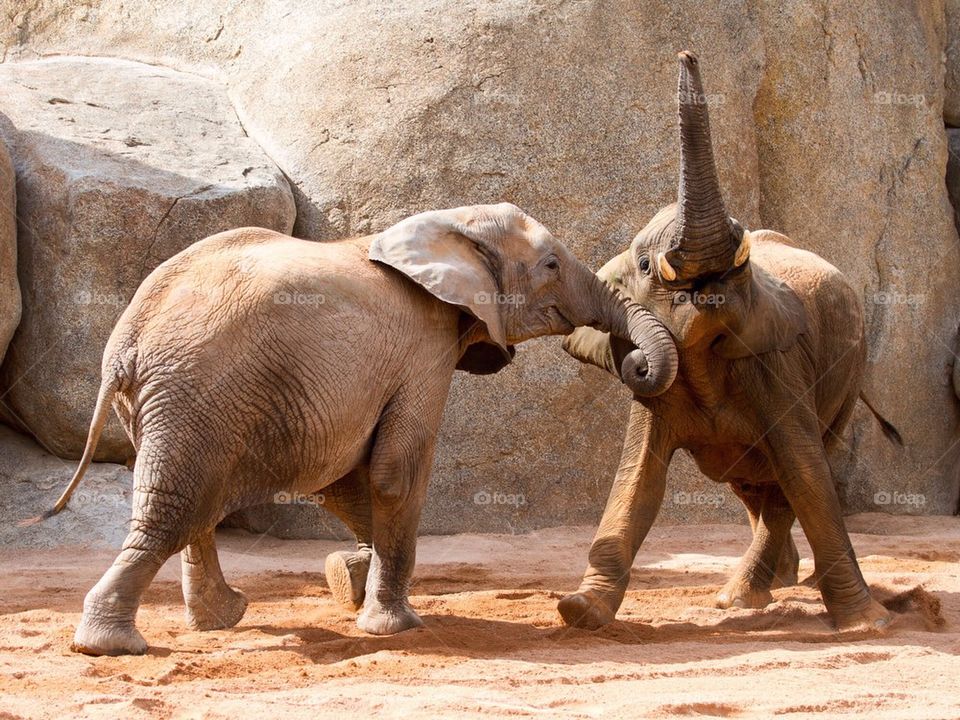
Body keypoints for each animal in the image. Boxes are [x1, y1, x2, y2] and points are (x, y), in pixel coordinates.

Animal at [32, 202, 678, 656]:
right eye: (550, 266)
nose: (636, 365)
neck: (446, 223)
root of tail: (126, 342)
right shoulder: (424, 346)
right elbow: (395, 471)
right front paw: (395, 625)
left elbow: (343, 477)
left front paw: (353, 580)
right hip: (199, 389)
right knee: (177, 507)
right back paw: (111, 645)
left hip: (175, 403)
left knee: (193, 503)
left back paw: (218, 619)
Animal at [557, 52, 901, 633]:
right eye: (644, 265)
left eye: (741, 265)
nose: (687, 54)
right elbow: (638, 481)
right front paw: (580, 612)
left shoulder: (775, 364)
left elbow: (806, 475)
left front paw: (866, 625)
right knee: (753, 483)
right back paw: (771, 584)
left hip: (846, 384)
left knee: (785, 480)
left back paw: (743, 597)